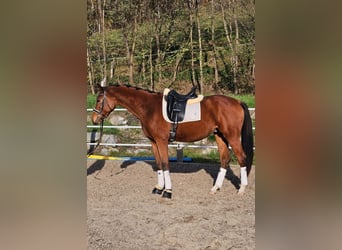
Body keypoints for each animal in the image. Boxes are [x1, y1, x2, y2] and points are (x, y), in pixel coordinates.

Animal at [91, 85, 254, 198]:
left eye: (99, 100)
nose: (94, 119)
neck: (149, 108)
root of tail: (237, 101)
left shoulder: (161, 141)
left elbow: (165, 164)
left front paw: (168, 191)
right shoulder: (153, 142)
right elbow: (159, 164)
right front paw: (158, 188)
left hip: (232, 137)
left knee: (241, 158)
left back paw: (241, 189)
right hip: (220, 136)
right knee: (225, 159)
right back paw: (215, 188)